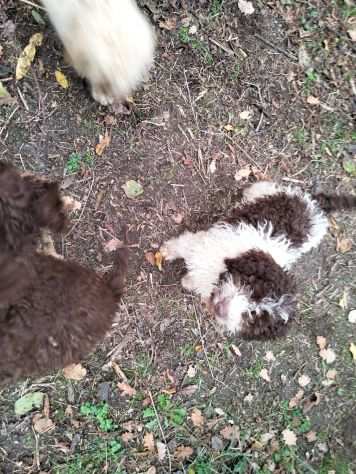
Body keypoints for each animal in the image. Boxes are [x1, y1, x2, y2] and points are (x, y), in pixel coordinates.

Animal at [161, 180, 356, 338]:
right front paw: (166, 251)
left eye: (253, 316)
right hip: (276, 192)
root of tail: (315, 206)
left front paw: (188, 282)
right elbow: (183, 245)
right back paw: (249, 191)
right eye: (253, 289)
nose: (221, 311)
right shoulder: (205, 245)